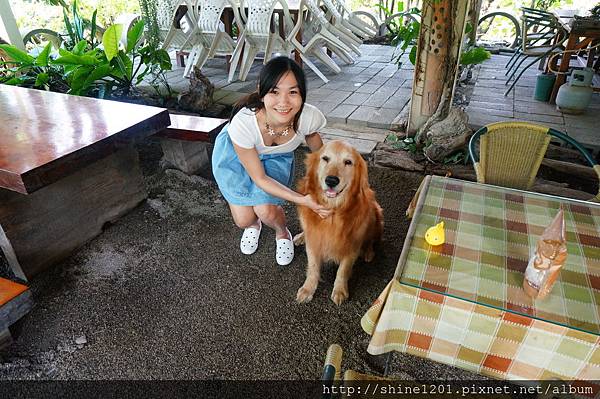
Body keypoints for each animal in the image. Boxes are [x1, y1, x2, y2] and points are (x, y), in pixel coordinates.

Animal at [296, 141, 384, 306]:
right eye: (325, 158)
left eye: (348, 162)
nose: (331, 180)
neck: (334, 211)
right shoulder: (313, 242)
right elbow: (313, 267)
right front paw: (308, 289)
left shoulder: (352, 245)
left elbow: (342, 270)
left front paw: (340, 290)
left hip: (375, 214)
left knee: (371, 239)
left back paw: (368, 252)